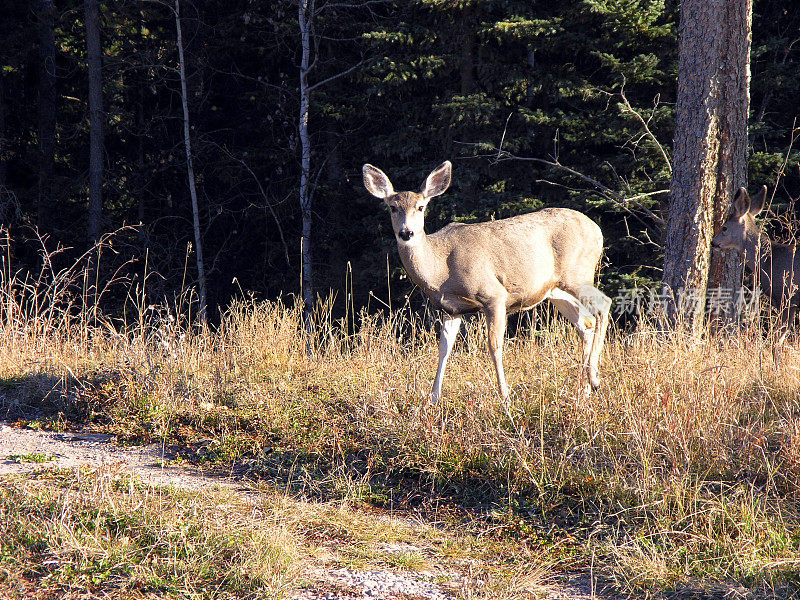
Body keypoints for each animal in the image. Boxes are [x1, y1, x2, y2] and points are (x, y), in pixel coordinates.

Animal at [364, 161, 612, 404]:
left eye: (421, 207)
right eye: (392, 207)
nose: (406, 233)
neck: (440, 270)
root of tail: (598, 230)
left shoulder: (493, 294)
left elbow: (494, 345)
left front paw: (505, 397)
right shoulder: (451, 309)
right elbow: (444, 349)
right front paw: (433, 398)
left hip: (577, 273)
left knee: (603, 304)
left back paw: (595, 379)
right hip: (556, 290)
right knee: (585, 323)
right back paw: (583, 390)